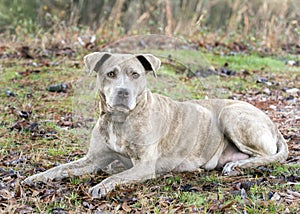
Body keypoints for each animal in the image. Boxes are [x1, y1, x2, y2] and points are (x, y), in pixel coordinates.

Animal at [24, 51, 288, 197]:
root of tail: (272, 124)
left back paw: (238, 166)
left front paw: (102, 186)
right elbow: (60, 169)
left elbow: (116, 177)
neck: (120, 120)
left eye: (135, 74)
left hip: (231, 114)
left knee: (266, 155)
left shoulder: (144, 166)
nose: (122, 92)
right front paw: (35, 177)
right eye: (110, 74)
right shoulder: (93, 160)